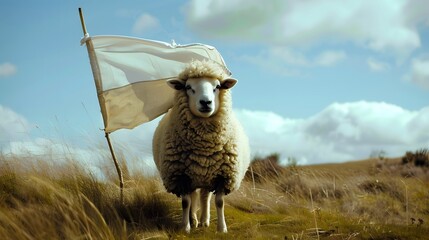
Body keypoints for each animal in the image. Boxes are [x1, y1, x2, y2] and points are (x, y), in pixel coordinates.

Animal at [152, 59, 251, 232]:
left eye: (217, 86)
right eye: (188, 87)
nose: (206, 102)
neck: (204, 148)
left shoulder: (222, 176)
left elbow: (219, 202)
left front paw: (222, 228)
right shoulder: (181, 176)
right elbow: (186, 202)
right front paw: (185, 227)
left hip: (207, 177)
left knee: (205, 197)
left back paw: (204, 221)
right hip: (194, 178)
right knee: (194, 197)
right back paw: (194, 221)